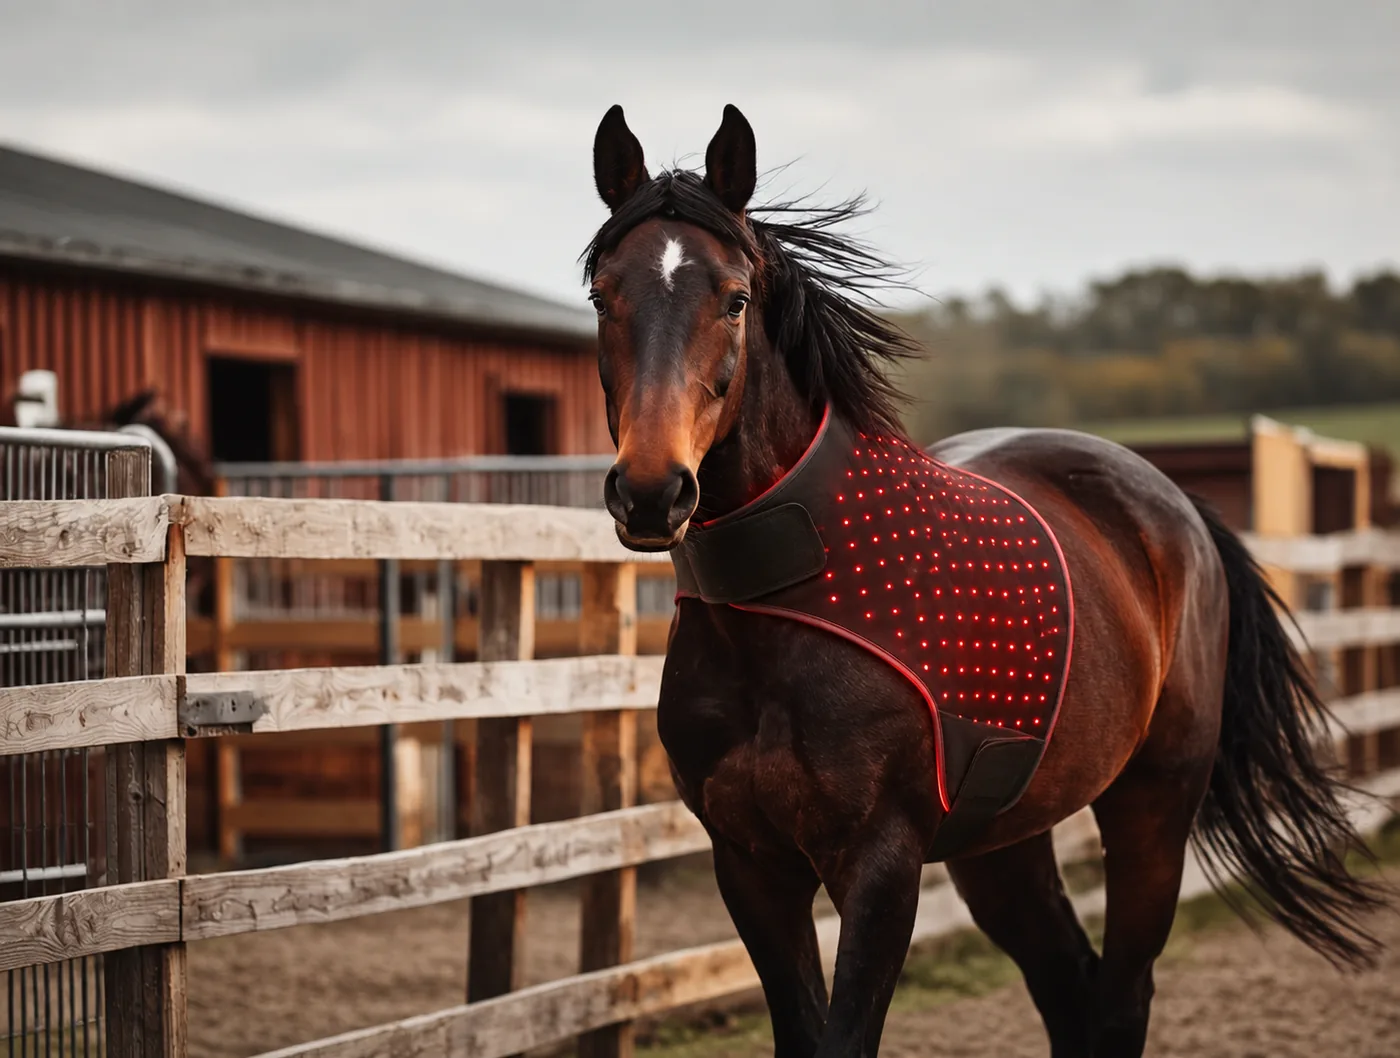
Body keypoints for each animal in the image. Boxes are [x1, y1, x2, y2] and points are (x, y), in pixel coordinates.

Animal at [581, 103, 1385, 1057]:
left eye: (734, 299)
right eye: (602, 296)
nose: (651, 490)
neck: (780, 616)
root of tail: (1174, 501)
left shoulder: (881, 867)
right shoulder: (750, 866)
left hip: (1152, 808)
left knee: (1121, 998)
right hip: (1001, 844)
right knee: (1069, 987)